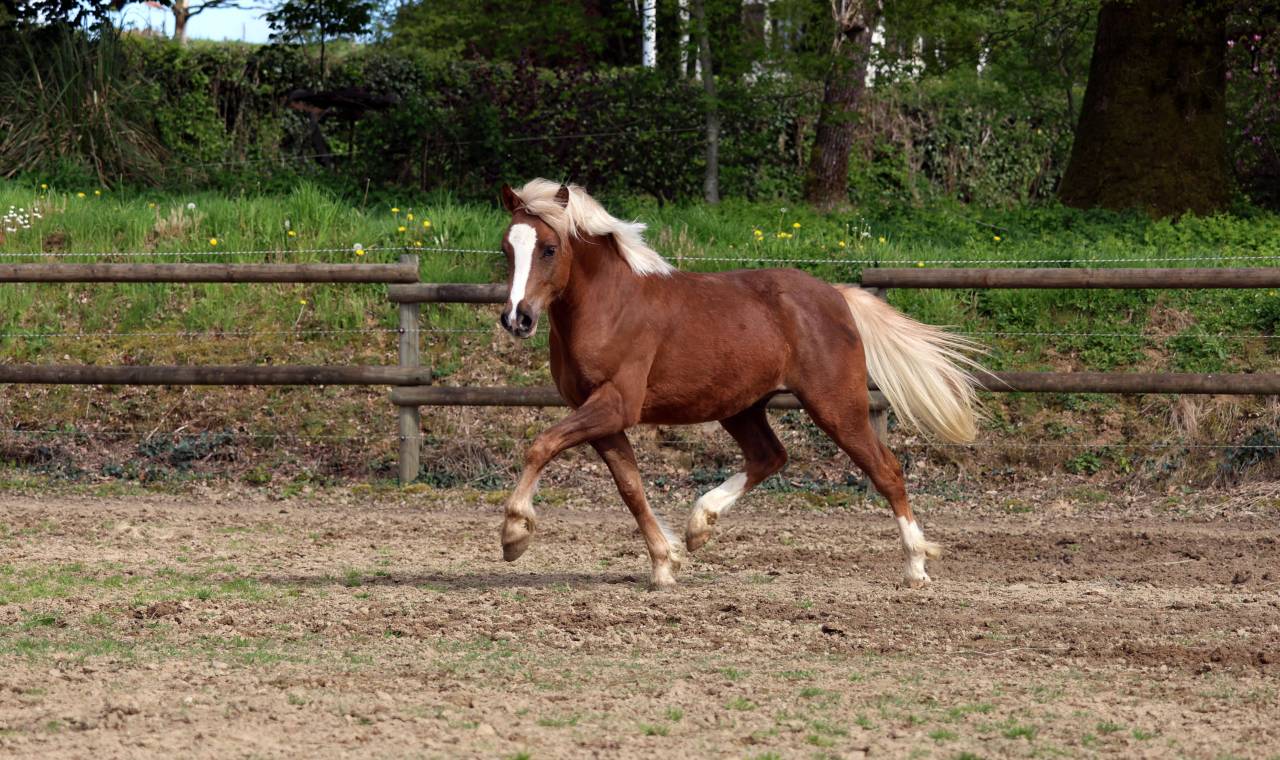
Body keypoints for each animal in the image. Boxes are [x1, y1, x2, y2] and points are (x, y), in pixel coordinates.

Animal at [495, 179, 982, 589]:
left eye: (550, 249)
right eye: (506, 249)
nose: (517, 318)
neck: (610, 306)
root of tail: (836, 295)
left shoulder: (616, 404)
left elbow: (541, 445)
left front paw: (515, 534)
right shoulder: (600, 414)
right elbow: (630, 487)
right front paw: (665, 563)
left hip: (836, 405)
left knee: (886, 470)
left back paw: (916, 566)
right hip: (742, 406)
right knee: (770, 456)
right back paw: (699, 525)